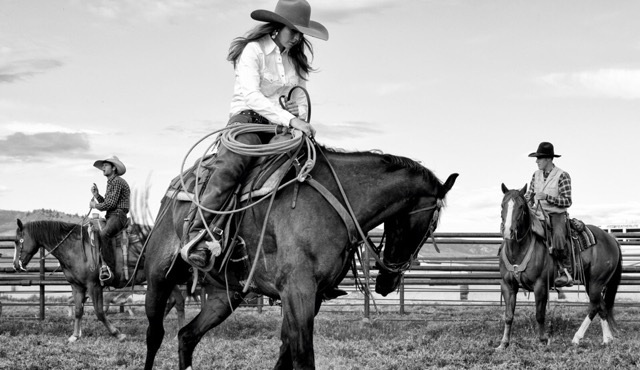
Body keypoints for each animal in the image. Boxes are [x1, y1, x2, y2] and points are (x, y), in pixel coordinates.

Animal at [11, 218, 188, 342]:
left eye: (17, 241)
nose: (15, 265)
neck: (75, 248)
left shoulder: (94, 285)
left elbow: (100, 312)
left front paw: (118, 334)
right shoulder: (77, 286)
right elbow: (78, 310)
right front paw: (75, 336)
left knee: (176, 301)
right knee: (177, 300)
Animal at [142, 147, 458, 370]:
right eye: (432, 225)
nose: (388, 282)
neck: (337, 202)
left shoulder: (311, 296)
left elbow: (286, 352)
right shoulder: (298, 291)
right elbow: (303, 357)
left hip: (226, 295)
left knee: (187, 335)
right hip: (158, 279)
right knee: (155, 335)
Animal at [498, 185, 624, 350]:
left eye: (521, 207)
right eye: (502, 205)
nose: (509, 231)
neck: (518, 251)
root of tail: (612, 239)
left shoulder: (540, 285)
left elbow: (539, 314)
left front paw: (542, 340)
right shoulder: (508, 285)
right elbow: (508, 316)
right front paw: (503, 343)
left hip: (597, 281)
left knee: (594, 306)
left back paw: (577, 338)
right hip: (590, 282)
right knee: (601, 306)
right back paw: (607, 339)